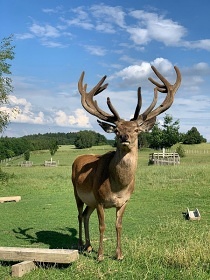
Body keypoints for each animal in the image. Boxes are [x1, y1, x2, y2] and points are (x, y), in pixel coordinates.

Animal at [72, 65, 180, 260]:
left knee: (85, 215)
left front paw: (119, 254)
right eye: (116, 130)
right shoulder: (99, 199)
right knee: (78, 214)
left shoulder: (124, 201)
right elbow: (102, 226)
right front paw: (101, 256)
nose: (125, 137)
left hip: (90, 201)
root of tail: (79, 158)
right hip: (77, 192)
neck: (117, 187)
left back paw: (89, 246)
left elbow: (118, 225)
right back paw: (80, 244)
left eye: (136, 129)